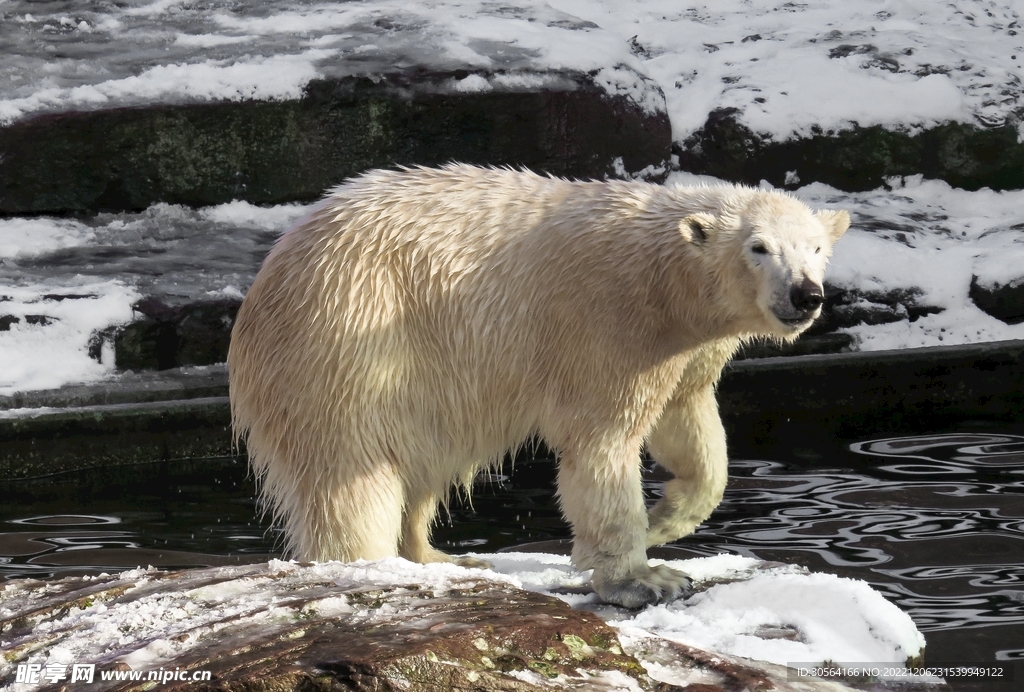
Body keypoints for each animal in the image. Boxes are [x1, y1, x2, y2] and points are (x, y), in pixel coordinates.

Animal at [228, 164, 849, 609]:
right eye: (759, 247)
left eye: (817, 247)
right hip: (351, 341)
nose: (806, 294)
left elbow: (687, 425)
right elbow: (601, 444)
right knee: (353, 476)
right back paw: (369, 565)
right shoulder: (607, 325)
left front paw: (663, 520)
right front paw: (645, 578)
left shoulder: (684, 350)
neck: (663, 281)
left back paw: (440, 557)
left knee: (424, 462)